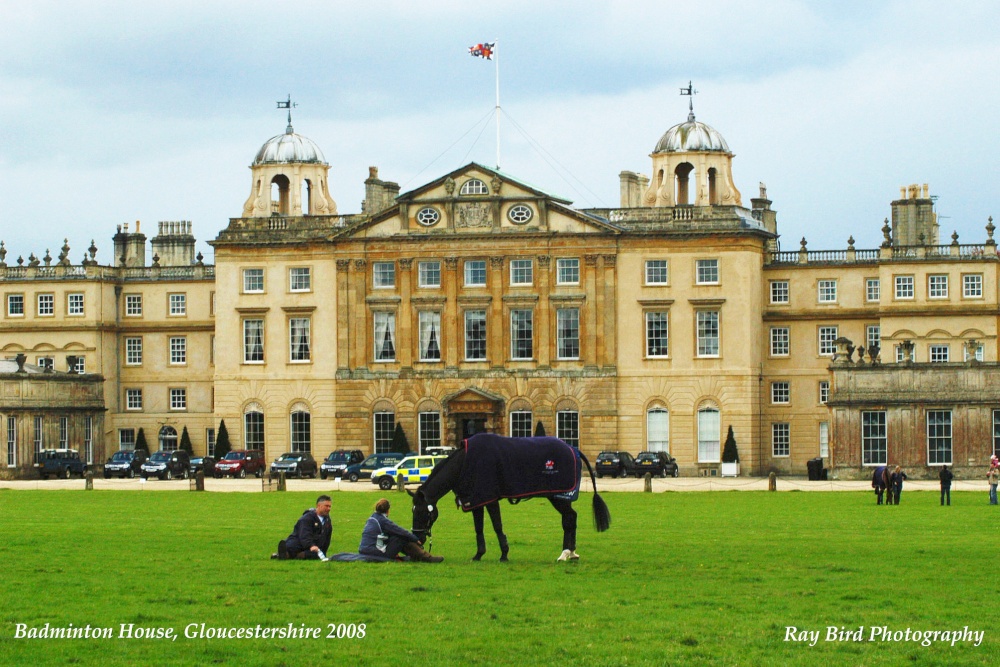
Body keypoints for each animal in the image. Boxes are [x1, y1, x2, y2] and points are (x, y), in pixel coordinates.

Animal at [406, 434, 608, 564]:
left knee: (569, 518)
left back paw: (565, 553)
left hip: (559, 497)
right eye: (413, 511)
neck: (464, 462)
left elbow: (497, 526)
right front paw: (478, 554)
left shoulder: (489, 498)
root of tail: (573, 449)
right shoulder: (476, 500)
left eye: (423, 512)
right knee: (571, 518)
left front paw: (504, 554)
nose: (417, 537)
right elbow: (478, 528)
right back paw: (571, 553)